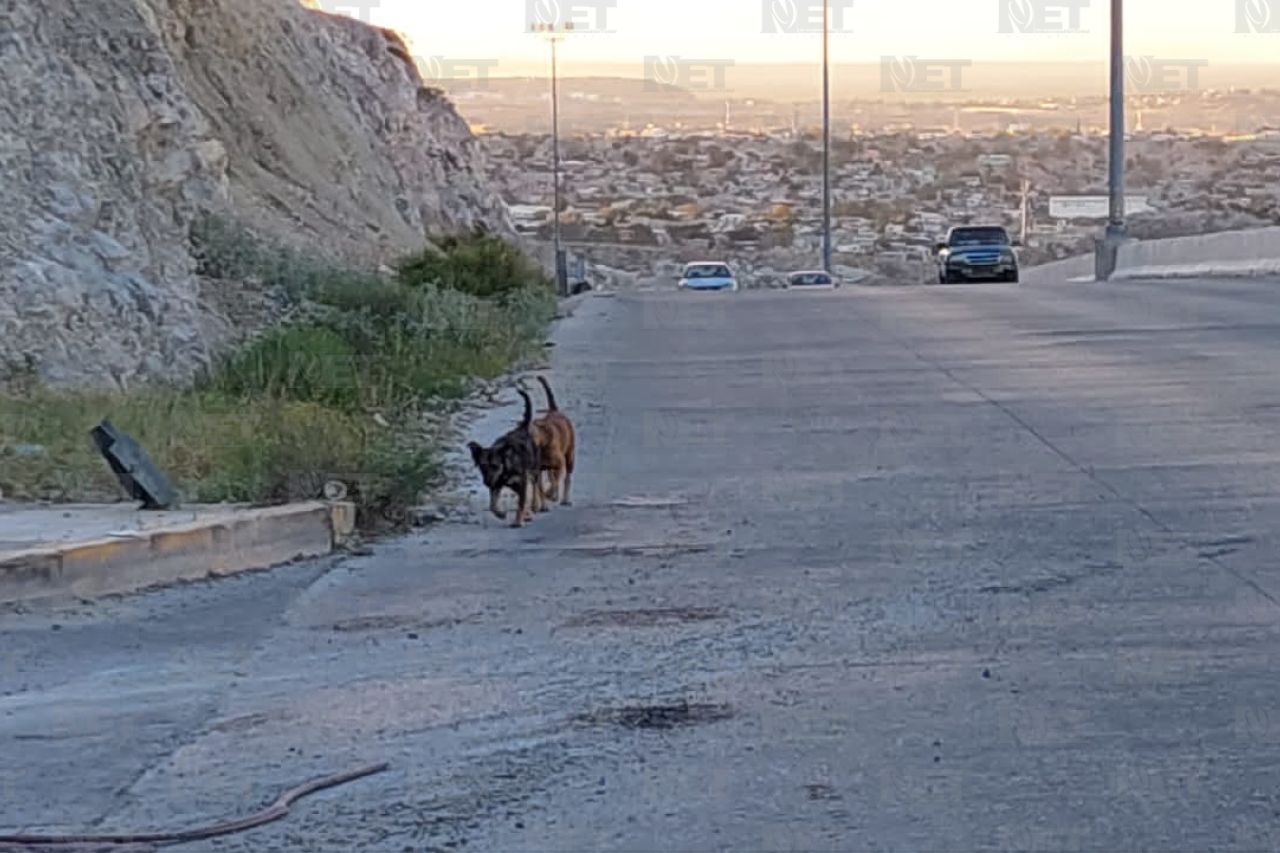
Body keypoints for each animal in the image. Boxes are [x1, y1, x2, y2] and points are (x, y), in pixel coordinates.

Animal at [471, 389, 540, 525]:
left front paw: (518, 521)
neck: (506, 468)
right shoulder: (496, 485)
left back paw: (534, 506)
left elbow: (521, 503)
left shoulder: (522, 481)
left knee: (535, 486)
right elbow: (492, 505)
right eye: (482, 466)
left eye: (495, 466)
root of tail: (521, 428)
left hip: (533, 469)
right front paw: (500, 513)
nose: (487, 482)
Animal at [527, 373, 578, 504]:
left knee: (567, 478)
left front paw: (551, 494)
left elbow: (555, 482)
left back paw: (564, 499)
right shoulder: (538, 469)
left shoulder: (559, 463)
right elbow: (542, 485)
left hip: (570, 456)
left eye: (532, 434)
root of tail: (554, 410)